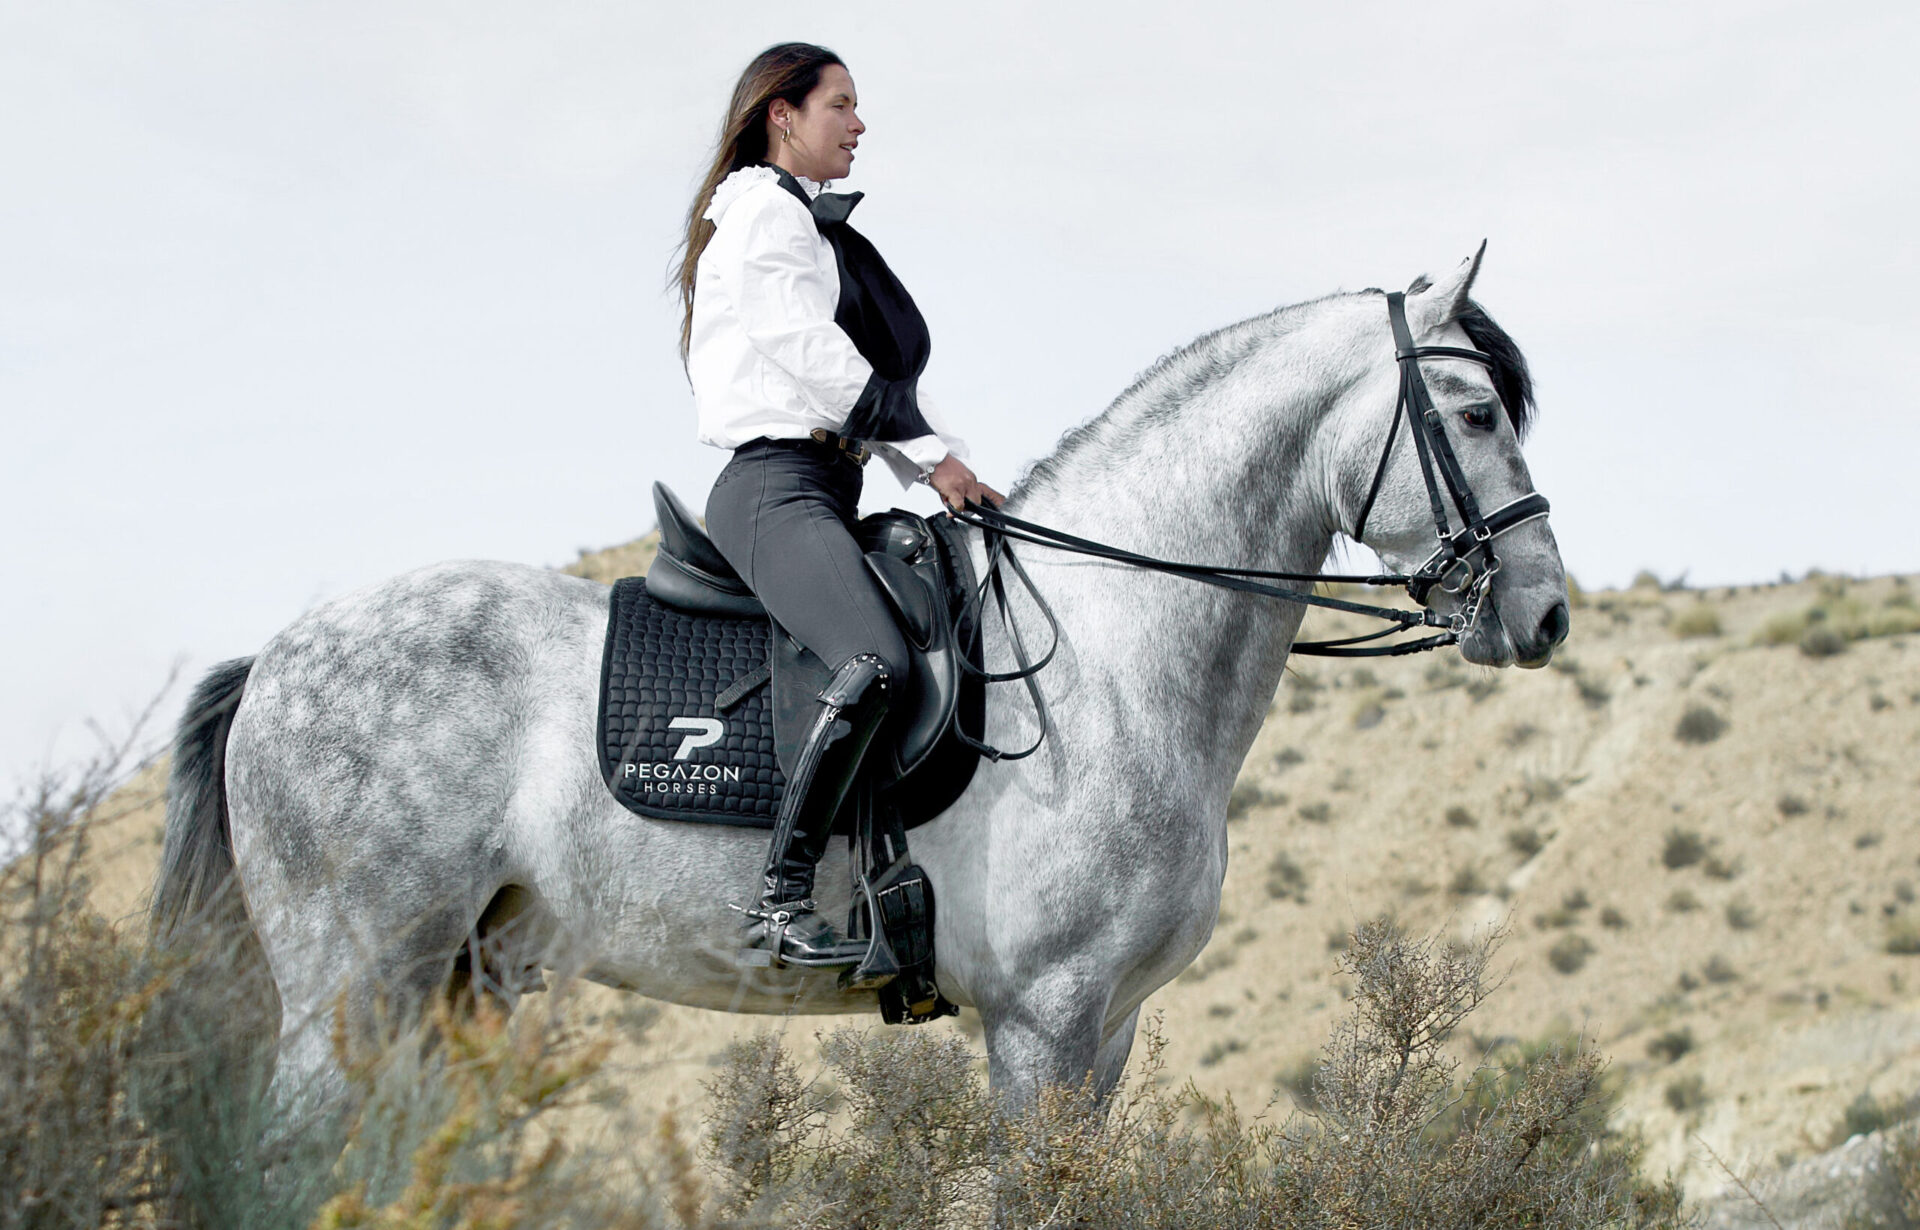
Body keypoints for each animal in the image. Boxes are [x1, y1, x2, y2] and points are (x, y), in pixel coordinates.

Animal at [153, 249, 1574, 1135]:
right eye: (1474, 411)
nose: (1544, 613)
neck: (1115, 645)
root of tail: (275, 654)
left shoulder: (1105, 1033)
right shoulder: (1045, 1022)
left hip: (450, 986)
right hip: (351, 984)